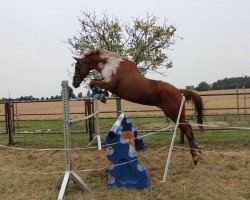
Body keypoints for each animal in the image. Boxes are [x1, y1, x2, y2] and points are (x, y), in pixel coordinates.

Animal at [72, 49, 203, 165]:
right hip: (179, 114)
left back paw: (195, 157)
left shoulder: (110, 84)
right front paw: (100, 95)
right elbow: (93, 81)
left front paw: (100, 96)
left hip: (174, 114)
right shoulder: (106, 83)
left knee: (187, 130)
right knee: (189, 127)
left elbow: (92, 82)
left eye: (77, 67)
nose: (74, 84)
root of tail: (179, 91)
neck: (110, 64)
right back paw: (197, 150)